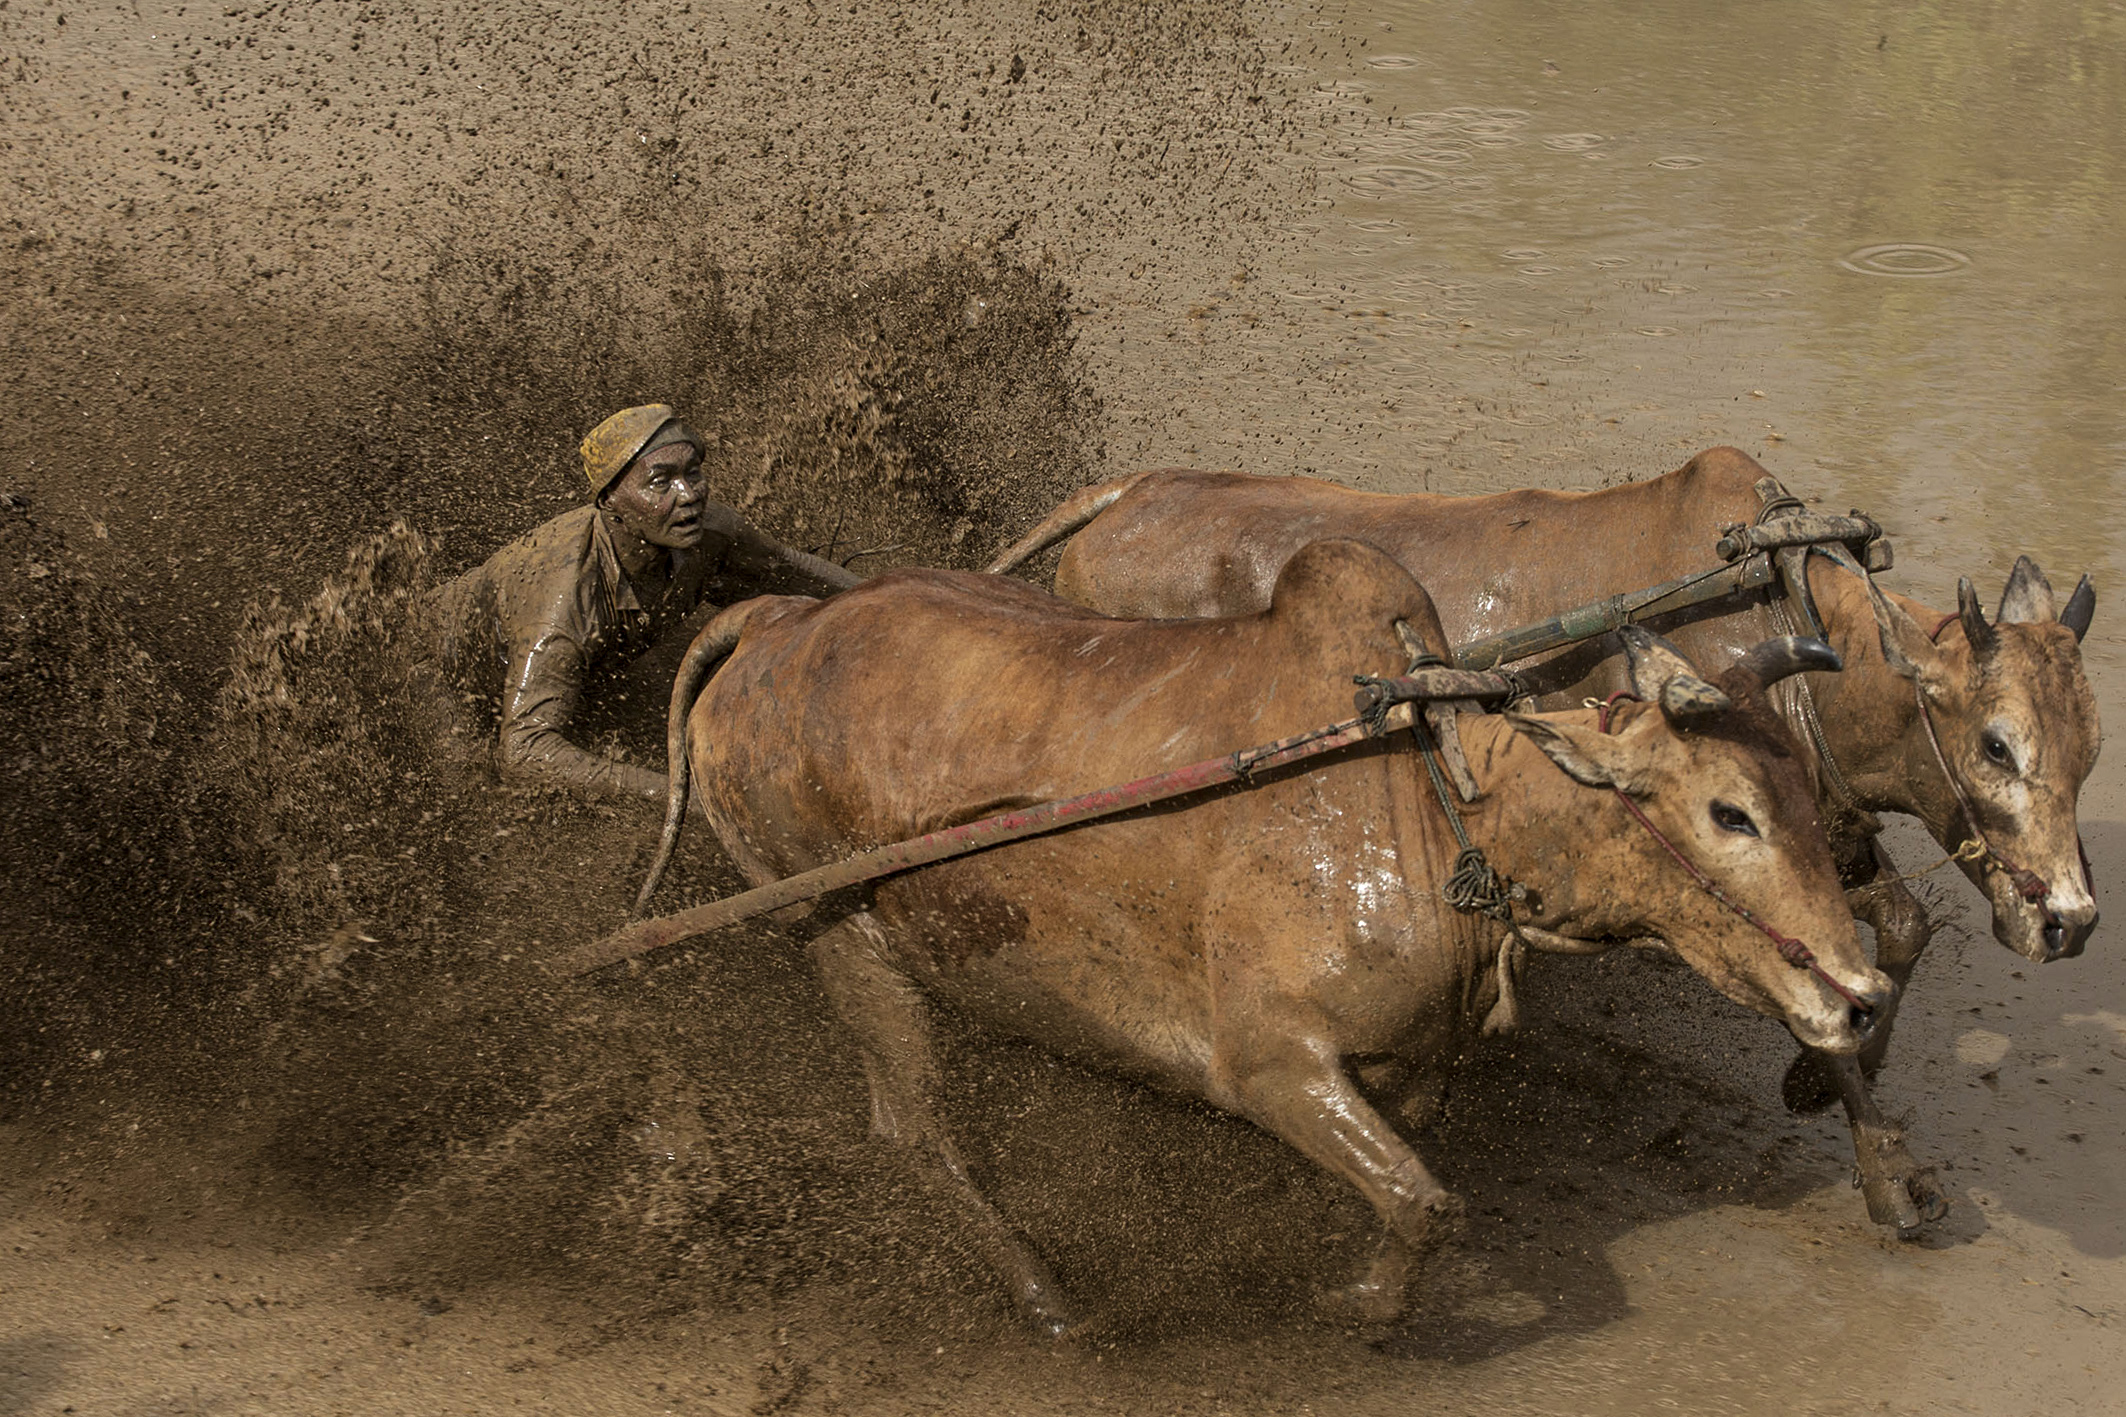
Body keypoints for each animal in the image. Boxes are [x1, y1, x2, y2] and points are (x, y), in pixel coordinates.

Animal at [654, 537, 1887, 1334]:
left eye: (1798, 791)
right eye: (1729, 810)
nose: (1860, 994)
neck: (1434, 798)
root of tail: (776, 623)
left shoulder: (1401, 1075)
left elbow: (1404, 1193)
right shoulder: (1270, 1061)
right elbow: (1422, 1203)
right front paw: (1356, 1312)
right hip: (834, 928)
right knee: (913, 1130)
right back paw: (1052, 1300)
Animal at [986, 448, 2100, 1232]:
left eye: (2090, 750)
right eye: (1995, 744)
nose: (2071, 921)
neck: (1799, 636)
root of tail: (1132, 491)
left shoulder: (1820, 845)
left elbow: (1895, 939)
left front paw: (1845, 1114)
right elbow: (1828, 995)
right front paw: (1872, 1155)